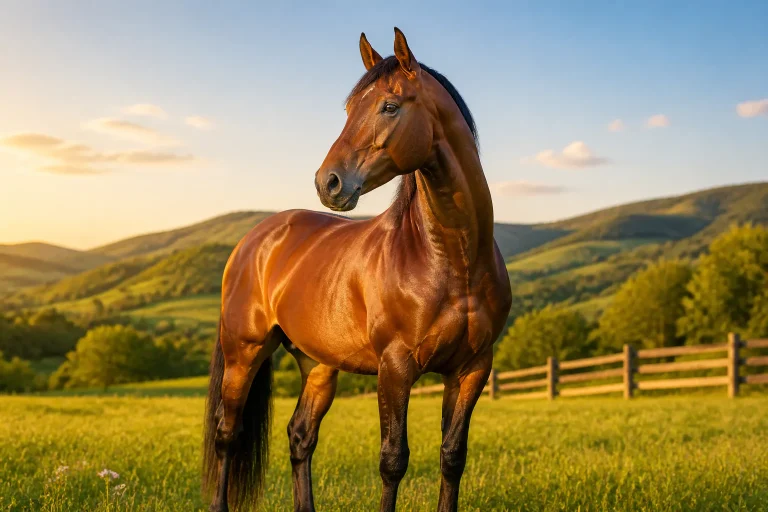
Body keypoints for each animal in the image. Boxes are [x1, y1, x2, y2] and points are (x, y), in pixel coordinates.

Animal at [202, 28, 512, 512]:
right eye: (349, 109)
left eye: (390, 106)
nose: (327, 182)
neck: (451, 260)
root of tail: (254, 241)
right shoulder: (395, 368)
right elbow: (393, 461)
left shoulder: (473, 368)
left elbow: (452, 457)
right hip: (244, 352)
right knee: (228, 435)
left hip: (317, 365)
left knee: (300, 436)